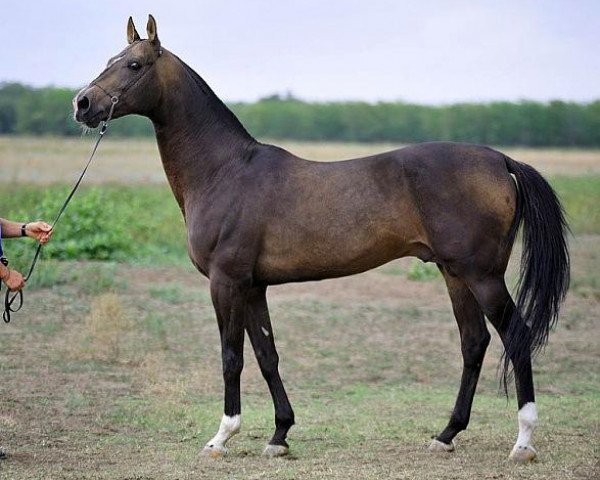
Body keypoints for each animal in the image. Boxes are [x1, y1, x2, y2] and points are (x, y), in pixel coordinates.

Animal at [72, 16, 568, 464]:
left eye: (134, 64)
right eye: (110, 60)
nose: (82, 103)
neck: (224, 171)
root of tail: (500, 161)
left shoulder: (225, 282)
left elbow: (232, 356)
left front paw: (221, 437)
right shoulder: (253, 286)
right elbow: (267, 354)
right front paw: (279, 436)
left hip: (482, 276)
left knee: (516, 337)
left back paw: (523, 443)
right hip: (454, 274)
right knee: (474, 343)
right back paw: (446, 435)